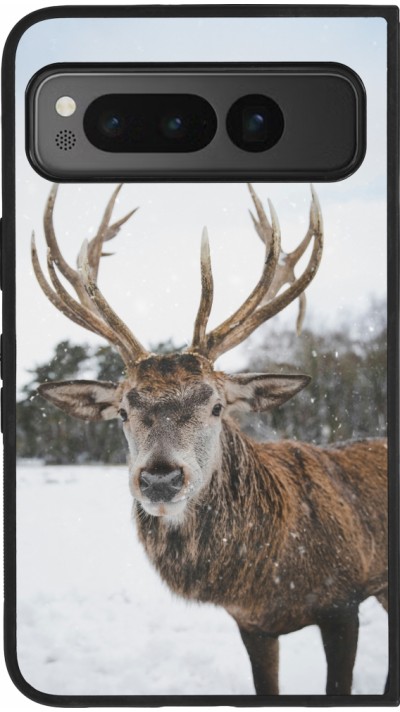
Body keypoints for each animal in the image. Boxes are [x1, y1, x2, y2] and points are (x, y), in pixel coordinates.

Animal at [32, 184, 388, 696]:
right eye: (123, 411)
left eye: (217, 406)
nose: (160, 479)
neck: (270, 579)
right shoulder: (251, 625)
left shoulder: (344, 601)